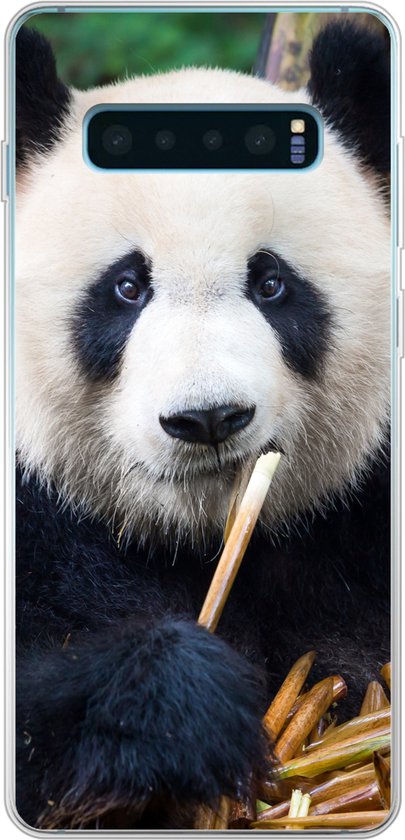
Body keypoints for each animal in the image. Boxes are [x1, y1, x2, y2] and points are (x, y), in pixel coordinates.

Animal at [15, 20, 391, 830]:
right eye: (126, 287)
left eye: (271, 282)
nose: (207, 417)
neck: (200, 539)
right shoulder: (39, 522)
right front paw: (183, 704)